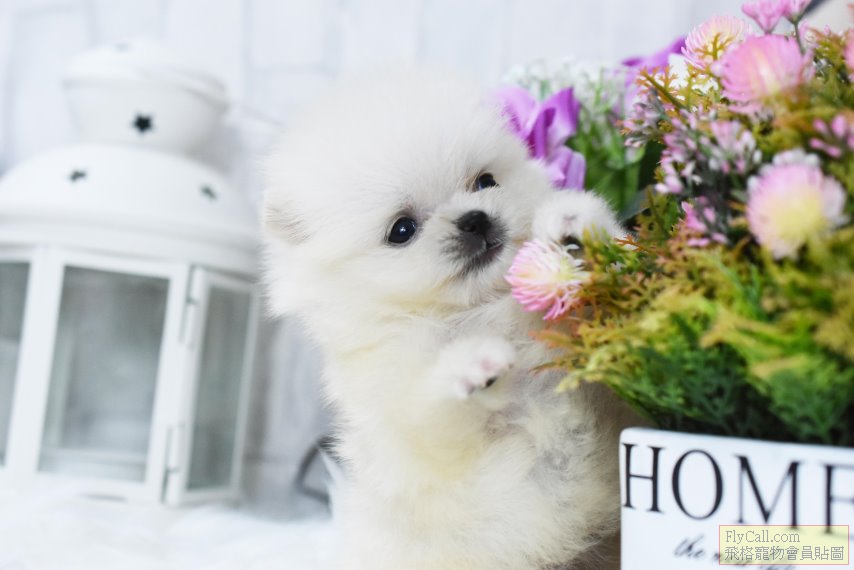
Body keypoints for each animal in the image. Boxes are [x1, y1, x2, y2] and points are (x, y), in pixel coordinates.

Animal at [262, 70, 631, 570]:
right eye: (402, 230)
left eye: (485, 181)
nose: (474, 219)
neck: (477, 308)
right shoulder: (424, 438)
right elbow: (434, 410)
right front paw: (475, 363)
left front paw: (574, 224)